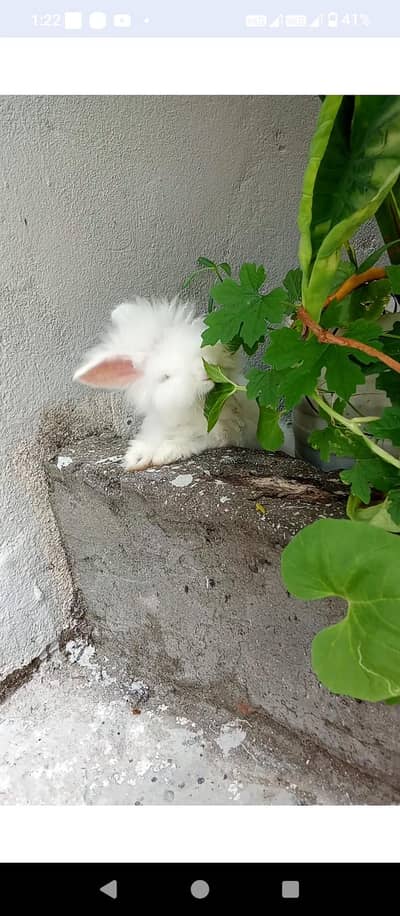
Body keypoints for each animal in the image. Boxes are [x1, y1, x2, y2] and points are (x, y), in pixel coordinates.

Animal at [73, 297, 293, 470]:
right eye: (166, 377)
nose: (204, 371)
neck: (202, 404)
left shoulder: (229, 433)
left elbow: (197, 440)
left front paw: (163, 453)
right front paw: (137, 459)